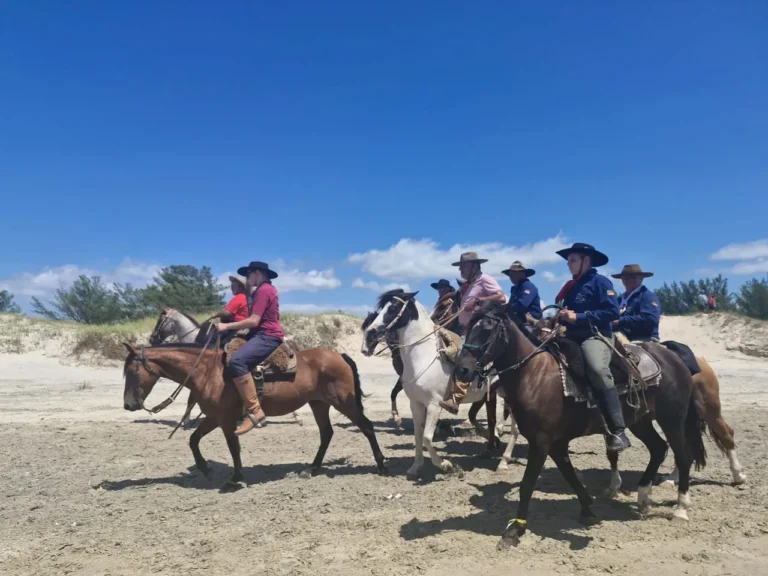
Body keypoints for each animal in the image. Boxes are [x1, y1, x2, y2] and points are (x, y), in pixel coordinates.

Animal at [122, 342, 387, 486]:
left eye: (132, 372)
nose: (128, 405)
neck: (208, 372)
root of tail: (339, 355)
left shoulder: (226, 420)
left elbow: (233, 447)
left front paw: (236, 477)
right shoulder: (214, 417)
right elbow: (193, 439)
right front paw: (205, 469)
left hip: (344, 402)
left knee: (366, 426)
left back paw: (381, 466)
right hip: (319, 403)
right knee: (327, 433)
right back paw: (311, 469)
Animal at [362, 290, 520, 479]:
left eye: (393, 307)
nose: (371, 332)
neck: (423, 356)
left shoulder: (434, 405)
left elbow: (427, 437)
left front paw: (447, 465)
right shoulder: (415, 403)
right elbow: (418, 435)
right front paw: (415, 467)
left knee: (515, 429)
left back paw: (504, 461)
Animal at [456, 301, 707, 550]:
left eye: (487, 329)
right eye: (468, 328)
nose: (463, 370)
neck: (534, 374)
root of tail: (673, 357)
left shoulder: (541, 442)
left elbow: (527, 485)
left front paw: (514, 530)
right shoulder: (556, 443)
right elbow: (570, 475)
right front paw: (587, 509)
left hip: (672, 418)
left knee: (683, 457)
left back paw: (681, 508)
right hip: (641, 421)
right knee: (658, 449)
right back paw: (643, 497)